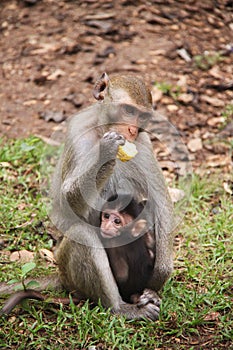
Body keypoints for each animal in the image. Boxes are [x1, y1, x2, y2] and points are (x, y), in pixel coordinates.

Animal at [51, 72, 175, 322]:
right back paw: (120, 308)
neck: (102, 129)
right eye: (128, 110)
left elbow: (161, 202)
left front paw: (158, 279)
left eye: (142, 116)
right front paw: (106, 153)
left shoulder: (143, 143)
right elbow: (67, 205)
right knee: (82, 234)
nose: (132, 131)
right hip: (66, 269)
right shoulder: (78, 135)